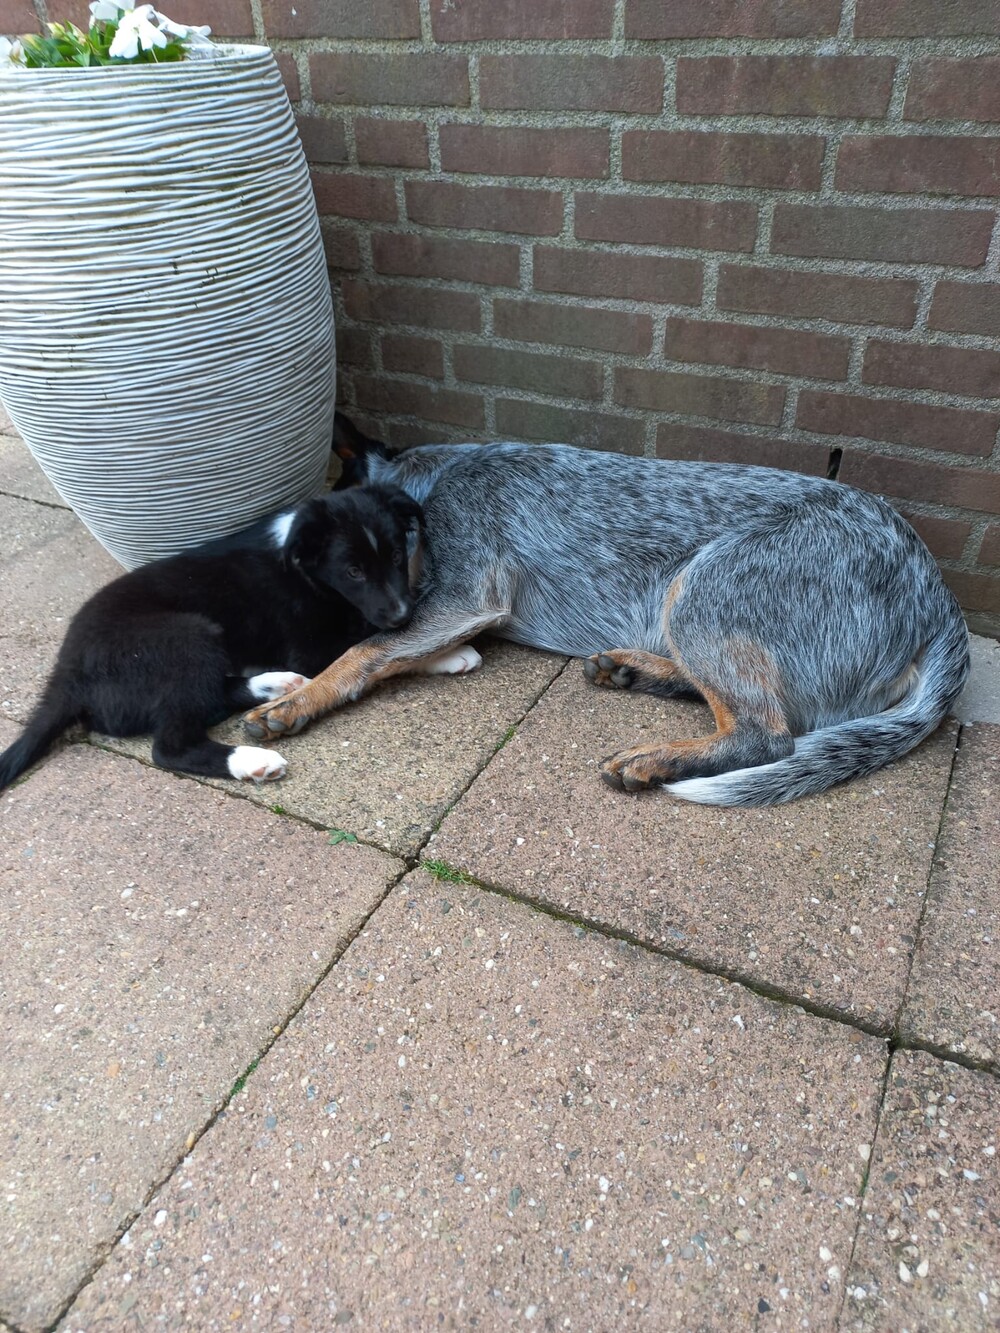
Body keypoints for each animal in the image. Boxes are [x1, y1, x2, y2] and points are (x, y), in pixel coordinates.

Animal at [0, 483, 481, 790]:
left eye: (399, 555)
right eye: (353, 571)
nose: (402, 612)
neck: (302, 566)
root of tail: (65, 675)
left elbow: (377, 641)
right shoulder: (310, 644)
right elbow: (366, 644)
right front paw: (444, 651)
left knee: (213, 695)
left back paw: (275, 685)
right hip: (185, 635)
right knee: (169, 746)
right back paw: (252, 760)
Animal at [241, 416, 970, 806]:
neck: (434, 479)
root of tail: (938, 597)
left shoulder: (465, 597)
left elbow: (364, 651)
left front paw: (293, 701)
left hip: (700, 587)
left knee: (767, 734)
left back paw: (656, 758)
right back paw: (635, 670)